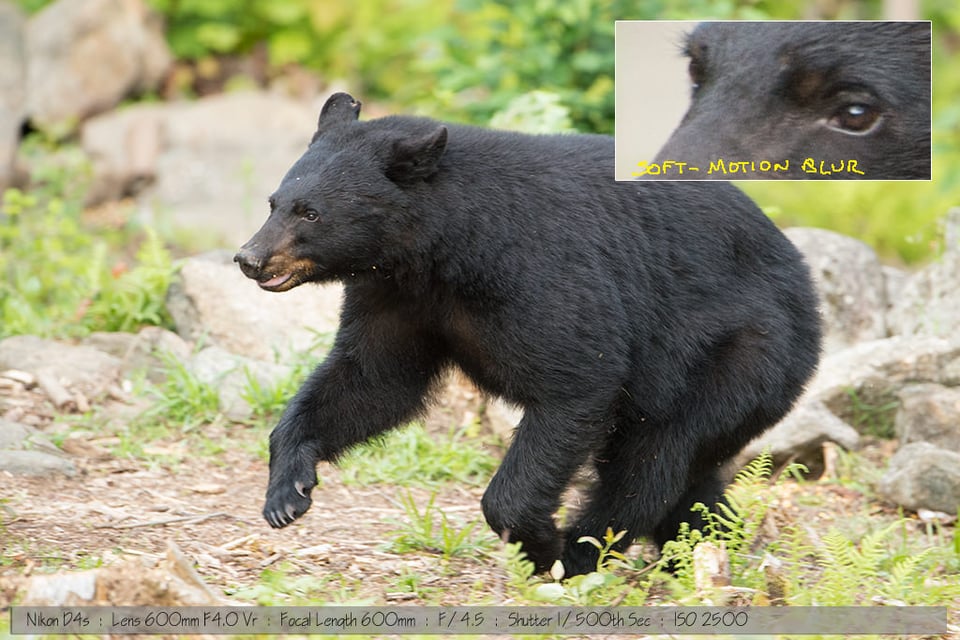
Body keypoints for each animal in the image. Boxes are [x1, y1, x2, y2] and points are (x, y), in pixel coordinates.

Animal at [236, 92, 820, 576]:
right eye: (274, 202)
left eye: (311, 213)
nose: (249, 259)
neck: (443, 250)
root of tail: (802, 279)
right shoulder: (398, 296)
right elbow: (373, 381)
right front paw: (287, 490)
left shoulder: (541, 275)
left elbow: (575, 380)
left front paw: (538, 545)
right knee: (687, 474)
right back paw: (707, 544)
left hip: (739, 352)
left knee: (651, 460)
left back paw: (584, 551)